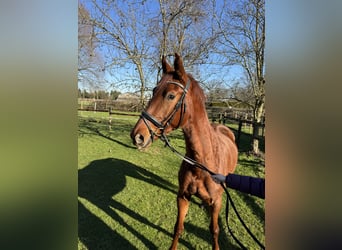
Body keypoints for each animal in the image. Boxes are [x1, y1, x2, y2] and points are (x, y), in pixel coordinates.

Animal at [131, 53, 238, 249]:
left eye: (171, 95)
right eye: (153, 91)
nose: (137, 136)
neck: (202, 163)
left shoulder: (217, 203)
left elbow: (215, 230)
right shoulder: (182, 197)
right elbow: (178, 228)